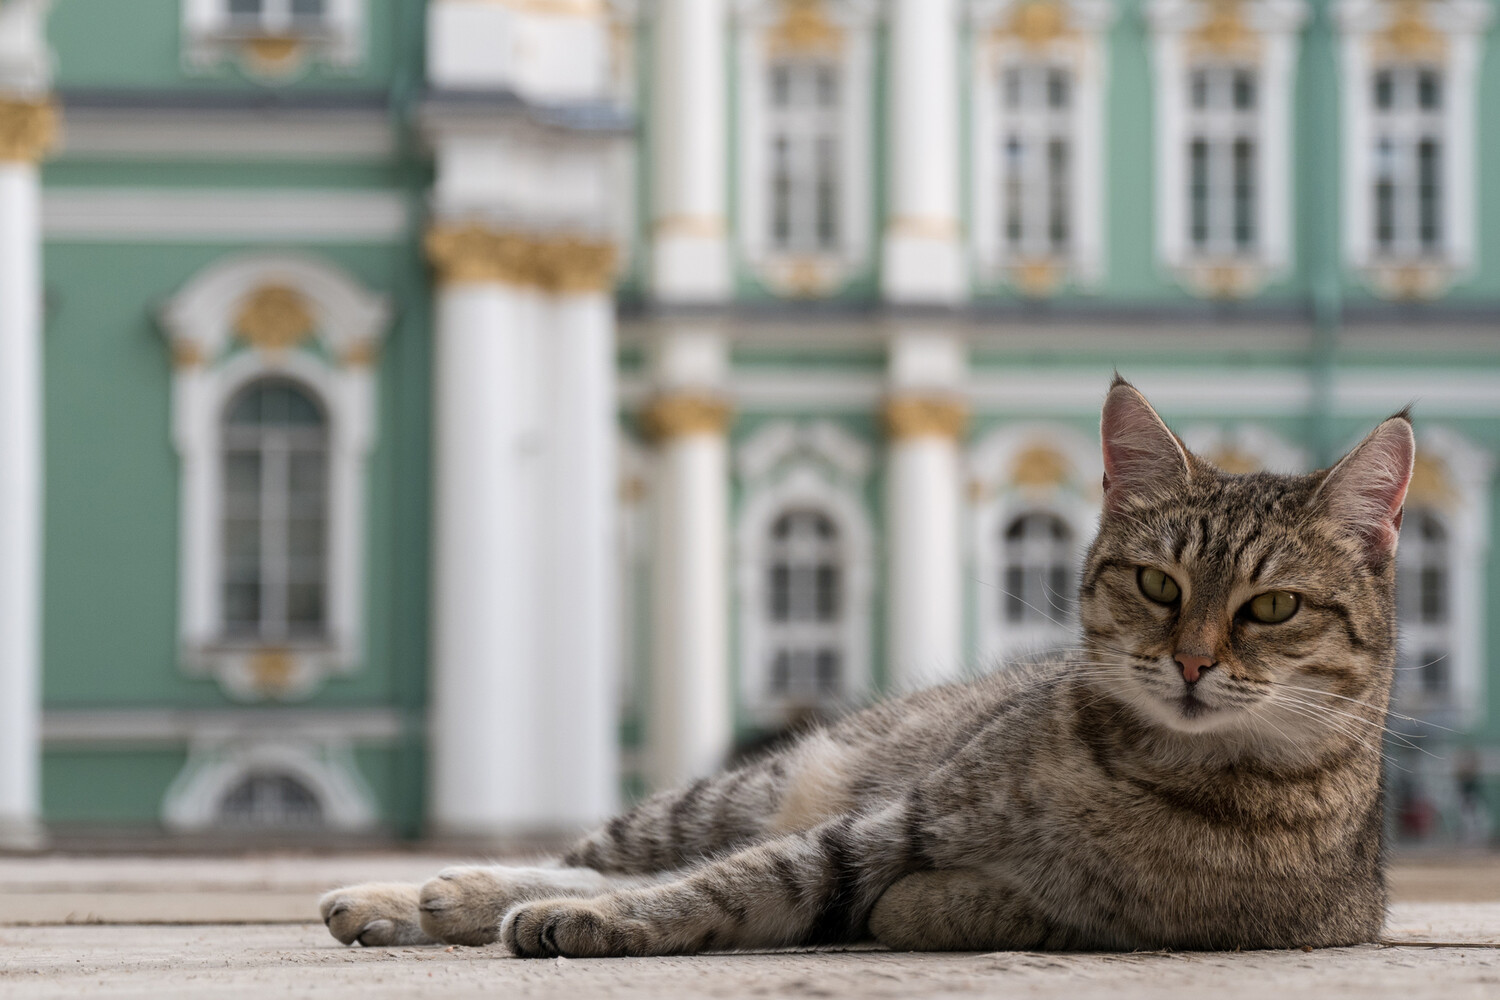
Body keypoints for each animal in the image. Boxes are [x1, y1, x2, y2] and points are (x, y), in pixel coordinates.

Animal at [322, 379, 1410, 959]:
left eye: (1271, 606)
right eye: (1156, 582)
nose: (1188, 661)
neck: (1145, 770)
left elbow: (740, 892)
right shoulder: (888, 824)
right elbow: (723, 884)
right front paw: (584, 915)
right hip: (743, 789)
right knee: (616, 852)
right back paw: (415, 896)